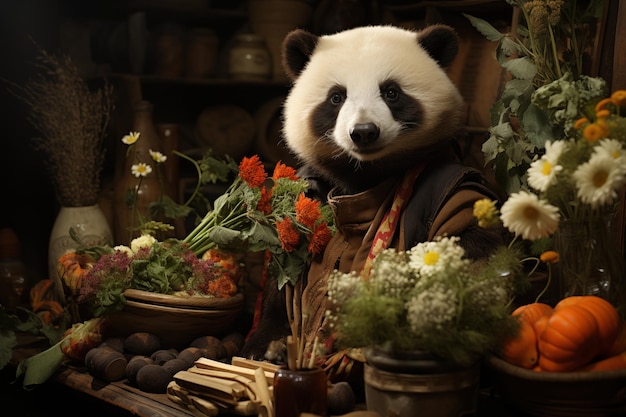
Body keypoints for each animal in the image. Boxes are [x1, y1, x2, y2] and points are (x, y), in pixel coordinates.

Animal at [239, 23, 502, 370]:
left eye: (391, 92)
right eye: (336, 97)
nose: (363, 132)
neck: (364, 175)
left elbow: (470, 253)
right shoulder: (305, 198)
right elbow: (282, 273)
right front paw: (266, 345)